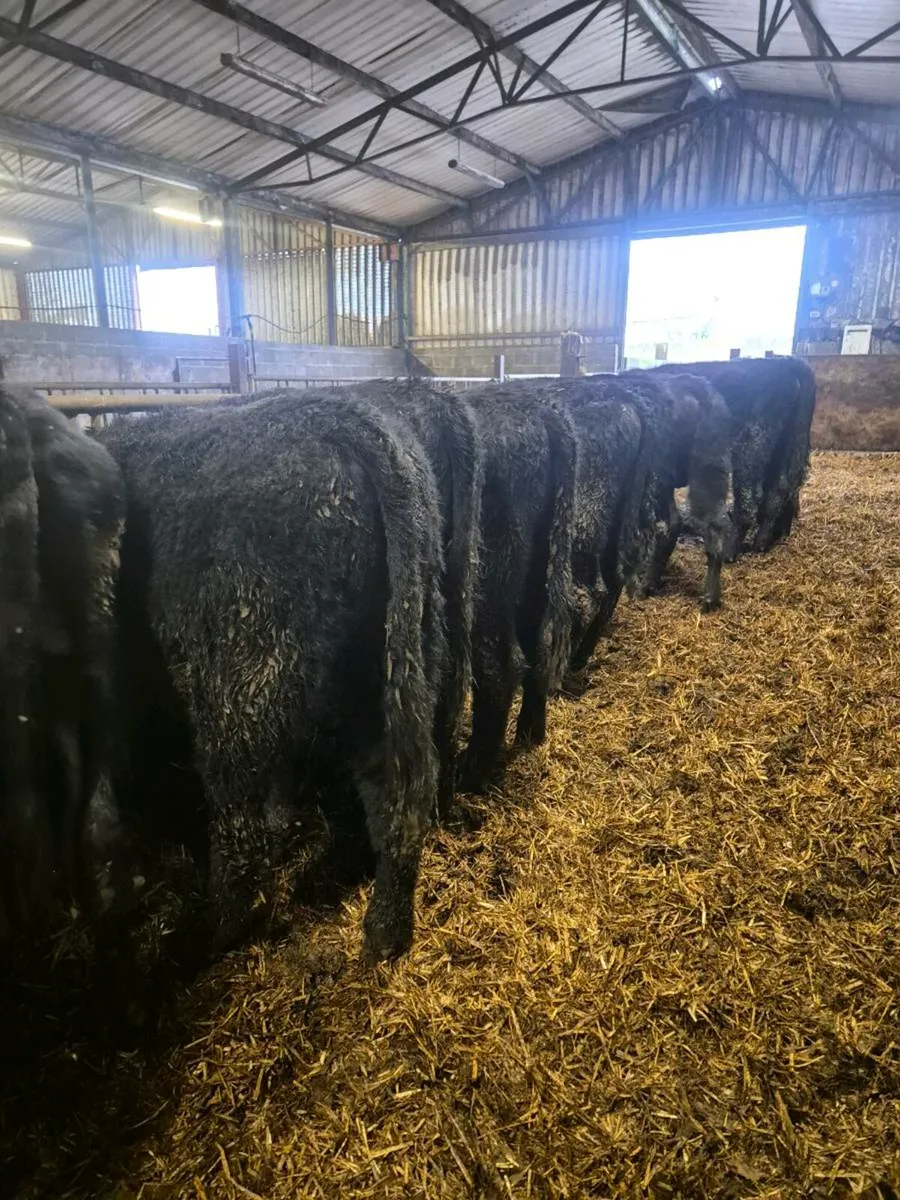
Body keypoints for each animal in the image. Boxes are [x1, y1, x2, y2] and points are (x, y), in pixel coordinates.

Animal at [100, 390, 445, 964]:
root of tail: (337, 417)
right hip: (385, 664)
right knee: (399, 791)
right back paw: (385, 933)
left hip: (236, 682)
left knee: (246, 825)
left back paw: (208, 939)